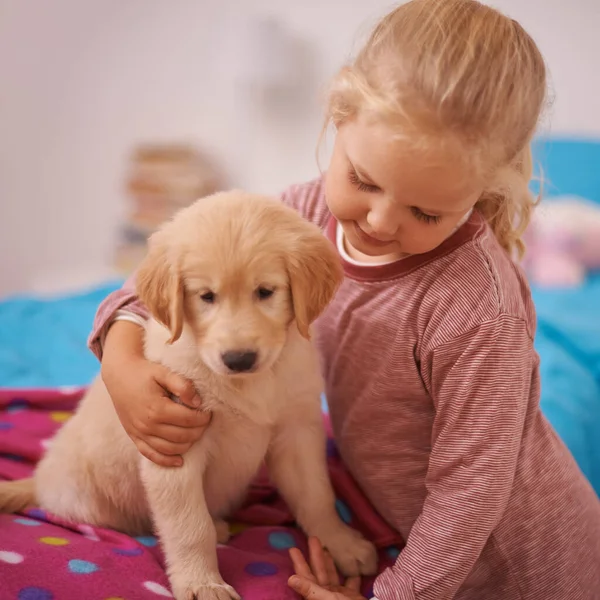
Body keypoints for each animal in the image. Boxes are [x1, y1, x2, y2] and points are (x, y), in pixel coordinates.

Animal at [0, 192, 376, 600]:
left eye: (265, 292)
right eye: (206, 296)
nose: (239, 359)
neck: (248, 384)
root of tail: (40, 481)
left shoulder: (297, 432)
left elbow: (317, 496)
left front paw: (341, 544)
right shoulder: (174, 448)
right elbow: (190, 527)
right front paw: (202, 583)